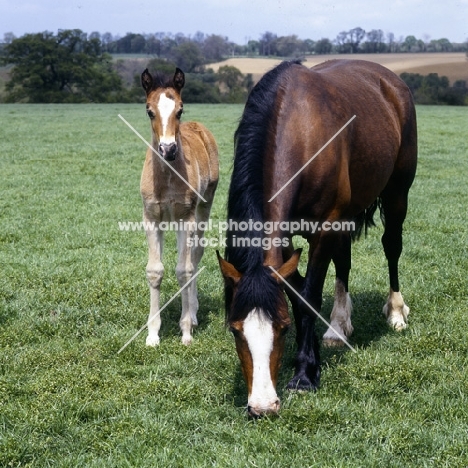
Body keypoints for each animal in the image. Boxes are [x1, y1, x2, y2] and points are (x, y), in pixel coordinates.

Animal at [140, 67, 218, 346]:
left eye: (180, 110)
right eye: (149, 111)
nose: (168, 149)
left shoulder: (186, 217)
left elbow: (184, 270)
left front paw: (185, 330)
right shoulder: (151, 217)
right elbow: (155, 271)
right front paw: (152, 335)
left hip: (203, 206)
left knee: (195, 255)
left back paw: (193, 314)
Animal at [218, 59, 418, 416]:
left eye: (281, 328)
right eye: (235, 329)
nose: (262, 406)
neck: (299, 129)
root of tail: (391, 81)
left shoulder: (324, 227)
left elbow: (309, 296)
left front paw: (304, 374)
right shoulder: (285, 237)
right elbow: (297, 293)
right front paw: (309, 358)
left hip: (397, 193)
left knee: (392, 247)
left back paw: (396, 312)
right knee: (344, 262)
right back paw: (338, 326)